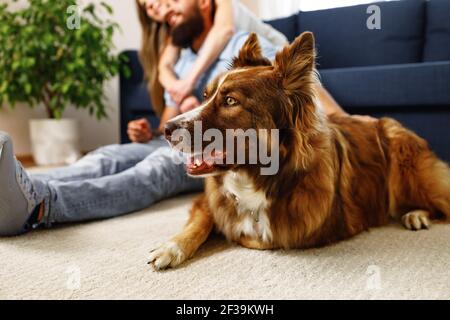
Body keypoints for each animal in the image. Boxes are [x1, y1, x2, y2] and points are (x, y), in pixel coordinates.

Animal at [149, 32, 450, 268]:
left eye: (231, 101)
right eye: (205, 96)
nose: (166, 129)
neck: (257, 179)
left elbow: (252, 237)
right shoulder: (209, 200)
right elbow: (200, 222)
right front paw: (170, 247)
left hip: (402, 158)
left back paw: (416, 214)